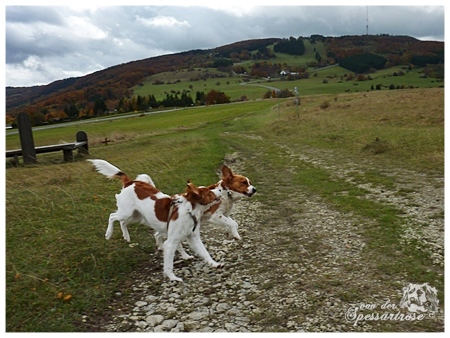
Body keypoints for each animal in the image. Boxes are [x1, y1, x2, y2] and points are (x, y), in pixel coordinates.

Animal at [88, 160, 223, 282]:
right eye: (209, 192)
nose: (220, 190)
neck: (189, 210)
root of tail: (130, 182)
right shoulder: (171, 242)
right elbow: (168, 265)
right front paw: (173, 277)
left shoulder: (192, 237)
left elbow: (204, 252)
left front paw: (214, 263)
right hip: (126, 212)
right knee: (112, 216)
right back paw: (109, 233)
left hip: (135, 215)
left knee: (122, 222)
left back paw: (126, 236)